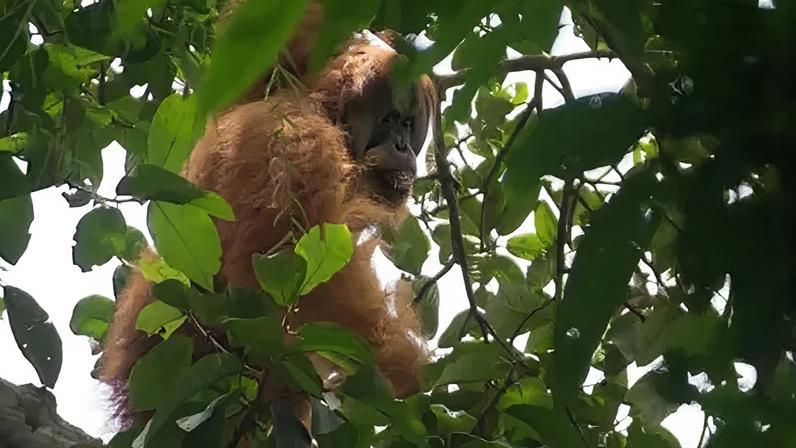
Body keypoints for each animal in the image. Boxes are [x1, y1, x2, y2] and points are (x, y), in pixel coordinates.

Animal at [99, 0, 436, 433]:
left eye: (409, 125)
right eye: (391, 119)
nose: (402, 146)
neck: (326, 114)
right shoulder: (298, 149)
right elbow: (290, 274)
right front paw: (416, 385)